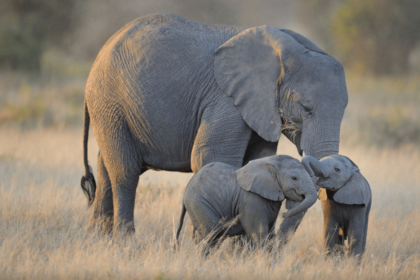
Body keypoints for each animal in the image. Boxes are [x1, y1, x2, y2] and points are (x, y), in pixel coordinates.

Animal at [81, 14, 348, 235]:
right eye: (306, 108)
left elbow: (257, 160)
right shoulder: (226, 100)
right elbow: (211, 157)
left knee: (105, 169)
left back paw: (97, 240)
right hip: (110, 103)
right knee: (125, 172)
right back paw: (125, 243)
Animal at [176, 155, 316, 249]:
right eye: (294, 178)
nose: (284, 214)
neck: (270, 162)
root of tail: (186, 190)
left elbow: (270, 233)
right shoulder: (251, 199)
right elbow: (259, 233)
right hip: (199, 203)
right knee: (212, 233)